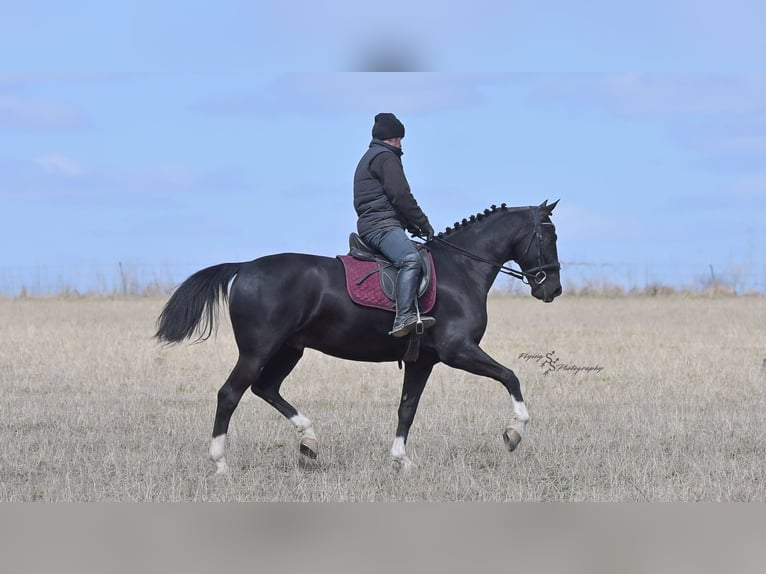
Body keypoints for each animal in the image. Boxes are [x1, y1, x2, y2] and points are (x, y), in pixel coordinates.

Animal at [155, 200, 562, 473]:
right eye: (550, 235)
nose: (553, 289)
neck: (460, 270)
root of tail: (246, 267)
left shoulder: (424, 360)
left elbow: (407, 407)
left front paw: (401, 460)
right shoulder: (458, 350)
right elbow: (511, 377)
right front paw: (514, 432)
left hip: (289, 349)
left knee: (265, 388)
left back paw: (308, 439)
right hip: (258, 350)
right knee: (230, 394)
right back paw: (220, 463)